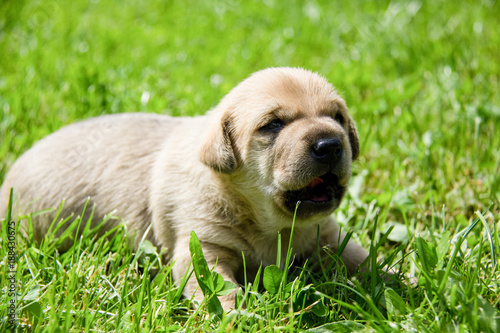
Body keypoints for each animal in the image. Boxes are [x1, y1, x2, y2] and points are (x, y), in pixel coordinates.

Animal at [0, 67, 368, 308]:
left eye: (337, 117)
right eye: (273, 125)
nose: (330, 145)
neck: (269, 224)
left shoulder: (327, 236)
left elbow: (363, 259)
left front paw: (383, 279)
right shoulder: (202, 248)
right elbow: (221, 291)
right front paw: (238, 316)